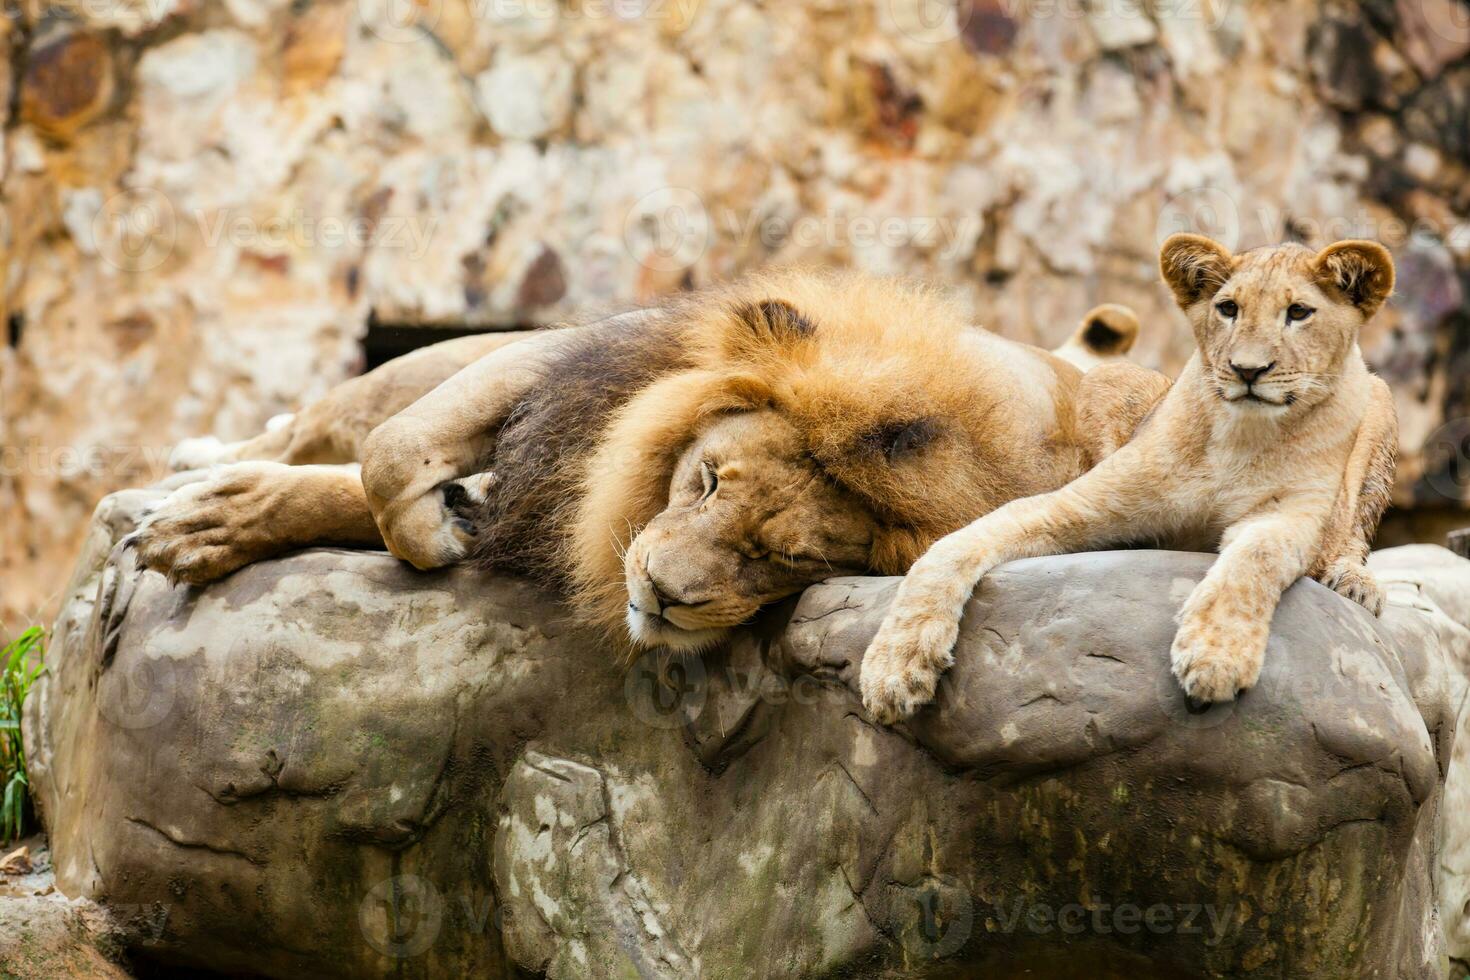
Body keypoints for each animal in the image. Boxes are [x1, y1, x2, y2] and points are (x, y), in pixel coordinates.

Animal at [129, 271, 1146, 652]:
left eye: (794, 560)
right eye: (706, 479)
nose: (660, 595)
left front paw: (212, 525)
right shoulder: (579, 373)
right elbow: (388, 459)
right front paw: (430, 531)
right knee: (323, 422)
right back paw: (200, 456)